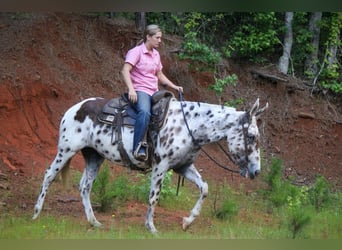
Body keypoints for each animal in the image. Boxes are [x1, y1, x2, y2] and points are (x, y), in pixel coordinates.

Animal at [31, 93, 268, 232]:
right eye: (251, 137)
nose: (256, 171)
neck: (189, 125)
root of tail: (74, 108)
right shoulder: (161, 166)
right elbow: (154, 196)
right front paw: (151, 226)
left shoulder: (183, 167)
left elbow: (205, 188)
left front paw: (187, 221)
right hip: (66, 150)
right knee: (49, 175)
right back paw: (36, 213)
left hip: (94, 156)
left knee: (84, 187)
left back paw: (94, 221)